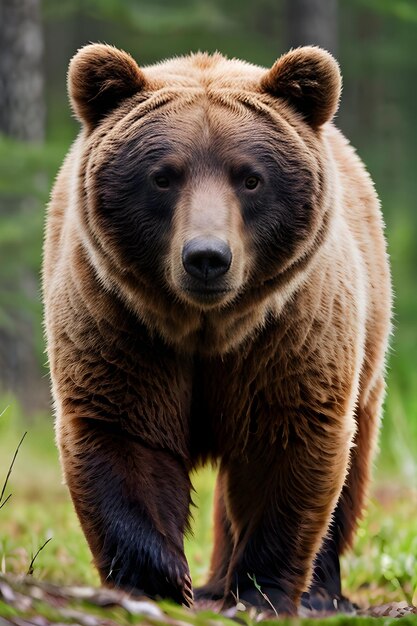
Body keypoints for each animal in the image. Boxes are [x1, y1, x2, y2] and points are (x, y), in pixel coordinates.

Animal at [42, 44, 390, 616]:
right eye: (163, 176)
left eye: (250, 178)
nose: (207, 257)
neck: (207, 326)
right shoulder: (120, 324)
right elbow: (124, 437)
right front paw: (156, 584)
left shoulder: (288, 334)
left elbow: (288, 446)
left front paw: (259, 592)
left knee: (354, 461)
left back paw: (321, 592)